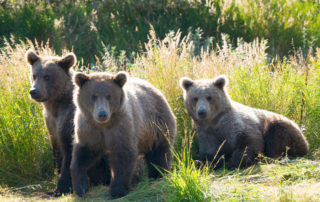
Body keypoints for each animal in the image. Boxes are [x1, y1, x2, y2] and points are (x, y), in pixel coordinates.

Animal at [25, 50, 110, 196]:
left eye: (47, 76)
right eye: (34, 75)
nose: (34, 91)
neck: (57, 105)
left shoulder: (70, 120)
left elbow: (70, 153)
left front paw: (60, 188)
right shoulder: (51, 124)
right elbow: (57, 151)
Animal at [71, 71, 176, 199]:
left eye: (108, 95)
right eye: (93, 96)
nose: (102, 114)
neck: (104, 125)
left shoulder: (121, 126)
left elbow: (122, 155)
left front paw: (117, 191)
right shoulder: (89, 129)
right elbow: (84, 154)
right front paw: (81, 187)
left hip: (157, 125)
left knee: (159, 152)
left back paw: (159, 174)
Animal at [180, 75, 308, 168]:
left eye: (209, 97)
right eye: (195, 98)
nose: (202, 112)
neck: (214, 122)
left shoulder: (235, 123)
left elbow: (248, 141)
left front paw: (236, 161)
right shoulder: (206, 132)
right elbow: (210, 151)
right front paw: (201, 162)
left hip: (280, 126)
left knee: (277, 138)